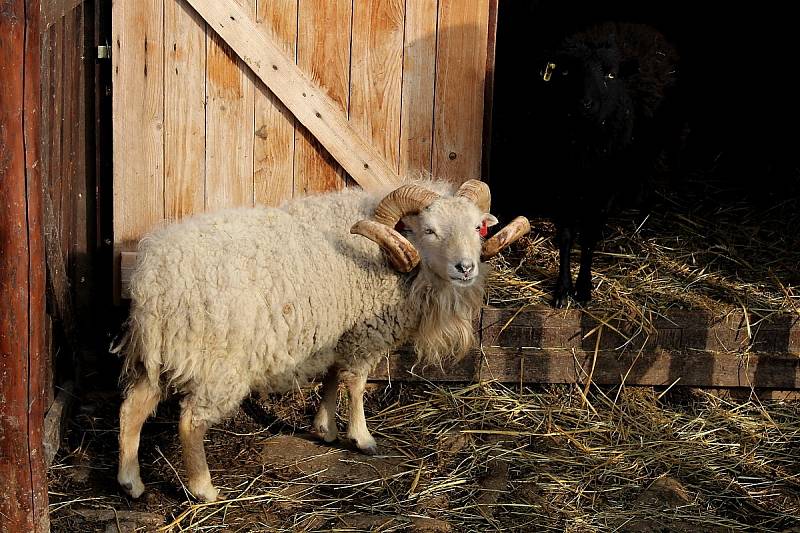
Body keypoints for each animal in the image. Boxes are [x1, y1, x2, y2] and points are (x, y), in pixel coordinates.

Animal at [112, 178, 524, 498]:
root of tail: (154, 279)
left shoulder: (338, 334)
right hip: (219, 363)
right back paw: (204, 490)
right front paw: (361, 438)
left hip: (157, 356)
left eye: (477, 228)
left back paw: (130, 482)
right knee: (191, 422)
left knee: (132, 408)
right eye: (430, 230)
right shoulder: (364, 334)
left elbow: (331, 377)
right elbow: (355, 384)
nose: (465, 268)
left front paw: (324, 428)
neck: (388, 249)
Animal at [510, 21, 680, 308]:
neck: (584, 146)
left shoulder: (605, 187)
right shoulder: (561, 183)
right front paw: (562, 289)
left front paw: (584, 288)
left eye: (610, 75)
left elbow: (590, 236)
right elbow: (566, 236)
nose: (585, 104)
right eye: (566, 71)